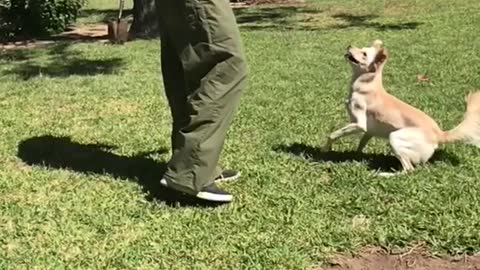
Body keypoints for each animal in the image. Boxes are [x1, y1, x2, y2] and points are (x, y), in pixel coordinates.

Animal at [320, 39, 480, 175]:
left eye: (364, 54)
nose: (349, 45)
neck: (366, 84)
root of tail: (440, 135)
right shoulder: (369, 130)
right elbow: (361, 143)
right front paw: (355, 155)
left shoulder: (360, 124)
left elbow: (332, 134)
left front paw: (325, 149)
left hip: (395, 137)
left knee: (408, 170)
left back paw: (383, 174)